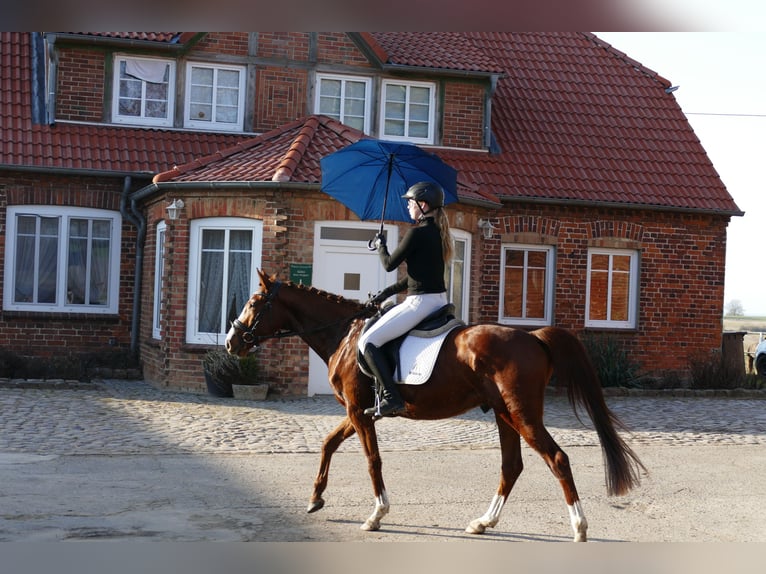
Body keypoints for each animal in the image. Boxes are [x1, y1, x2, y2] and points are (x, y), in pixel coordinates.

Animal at [225, 269, 645, 542]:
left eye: (254, 301)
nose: (232, 342)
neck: (344, 335)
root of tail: (534, 337)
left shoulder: (359, 414)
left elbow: (372, 460)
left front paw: (377, 514)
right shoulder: (359, 412)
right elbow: (329, 443)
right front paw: (316, 498)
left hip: (522, 414)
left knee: (556, 459)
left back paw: (579, 527)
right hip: (504, 414)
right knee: (512, 466)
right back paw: (483, 523)